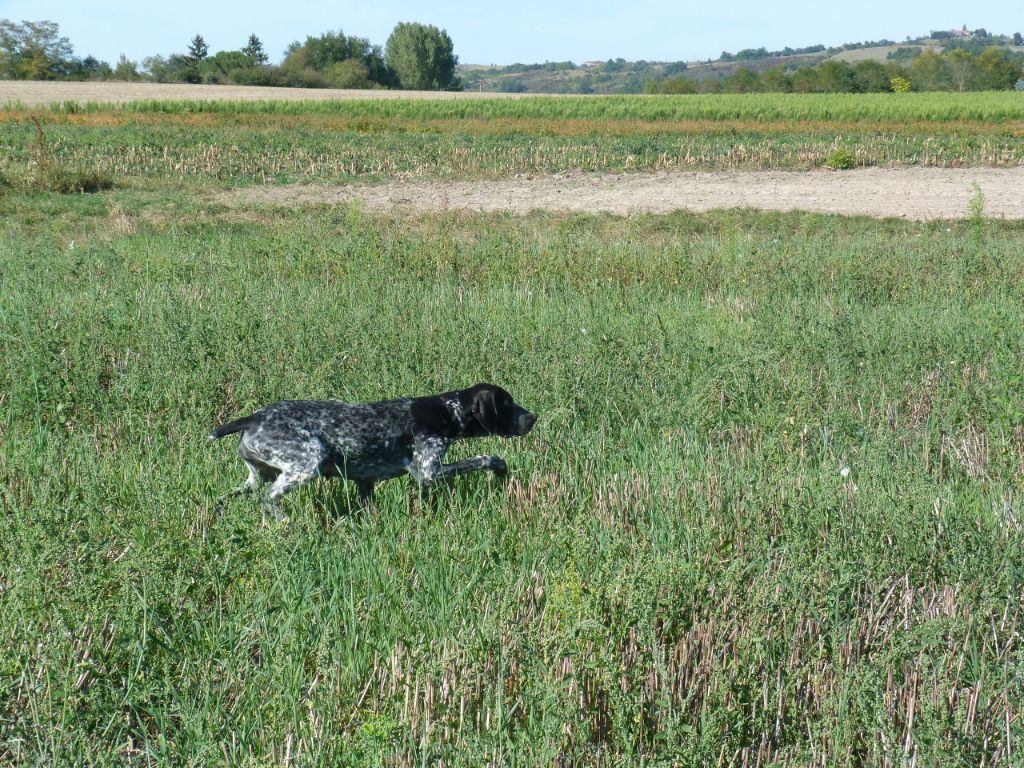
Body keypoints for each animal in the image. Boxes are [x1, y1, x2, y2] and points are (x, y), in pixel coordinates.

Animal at [208, 382, 536, 520]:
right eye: (507, 403)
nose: (532, 417)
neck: (446, 410)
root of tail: (254, 418)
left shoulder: (364, 483)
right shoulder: (428, 471)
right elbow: (483, 458)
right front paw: (499, 465)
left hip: (256, 476)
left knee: (226, 498)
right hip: (306, 463)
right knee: (269, 497)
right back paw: (285, 522)